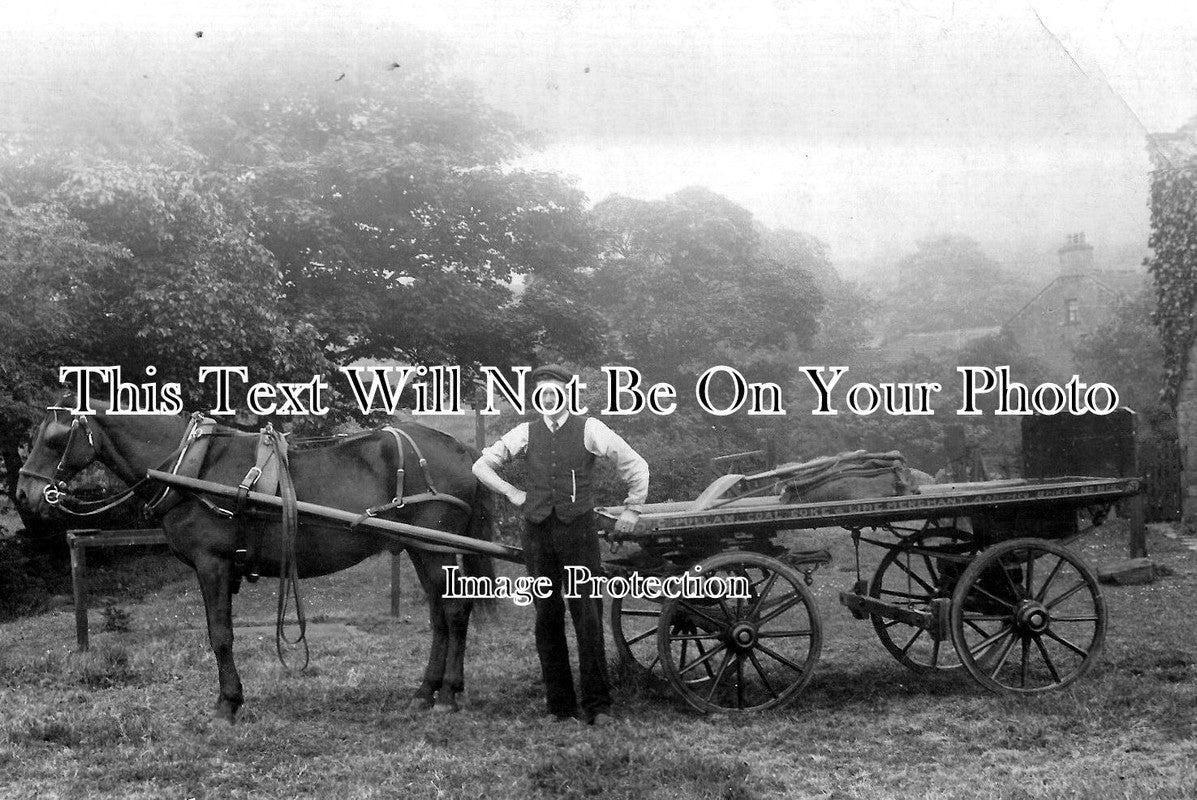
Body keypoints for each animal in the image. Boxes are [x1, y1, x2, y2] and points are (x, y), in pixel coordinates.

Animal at [15, 402, 490, 723]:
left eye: (54, 439)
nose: (23, 494)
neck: (191, 467)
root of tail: (462, 450)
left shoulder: (213, 564)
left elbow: (220, 636)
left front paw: (228, 703)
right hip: (420, 548)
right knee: (440, 616)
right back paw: (427, 690)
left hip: (433, 548)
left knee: (453, 612)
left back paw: (449, 693)